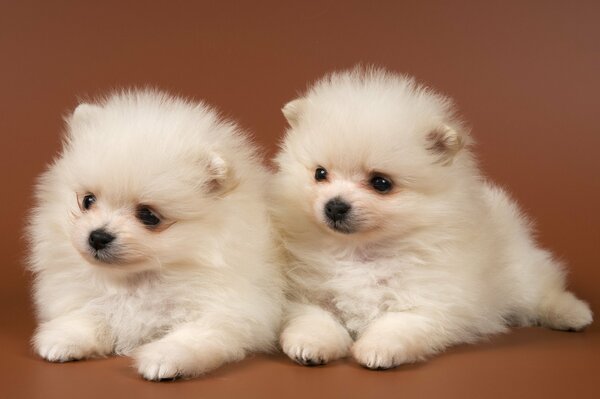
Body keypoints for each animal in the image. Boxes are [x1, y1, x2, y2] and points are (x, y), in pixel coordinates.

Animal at [26, 90, 284, 382]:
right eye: (88, 201)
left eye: (148, 215)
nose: (98, 237)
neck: (139, 280)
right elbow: (91, 315)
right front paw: (62, 338)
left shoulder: (227, 310)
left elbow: (193, 336)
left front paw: (164, 358)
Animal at [272, 67, 592, 370]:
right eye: (320, 174)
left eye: (381, 183)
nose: (335, 206)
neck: (360, 253)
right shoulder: (306, 295)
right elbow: (314, 318)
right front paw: (310, 345)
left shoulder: (427, 301)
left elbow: (396, 325)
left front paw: (377, 349)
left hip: (520, 273)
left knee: (542, 290)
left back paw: (573, 313)